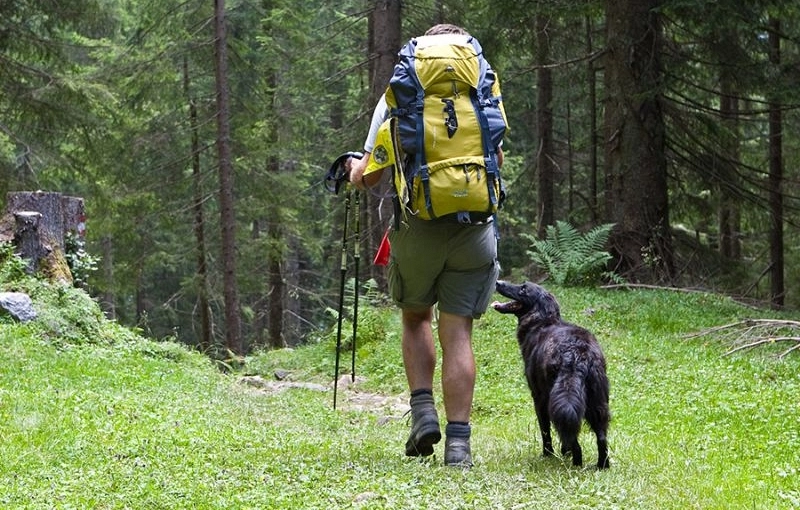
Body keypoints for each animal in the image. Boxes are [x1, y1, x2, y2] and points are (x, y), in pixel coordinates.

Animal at [490, 280, 608, 468]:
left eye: (523, 288)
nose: (498, 282)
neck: (542, 320)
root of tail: (577, 353)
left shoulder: (538, 398)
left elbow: (544, 430)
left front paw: (548, 454)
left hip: (557, 400)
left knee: (572, 437)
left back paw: (576, 463)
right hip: (597, 402)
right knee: (601, 437)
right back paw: (602, 465)